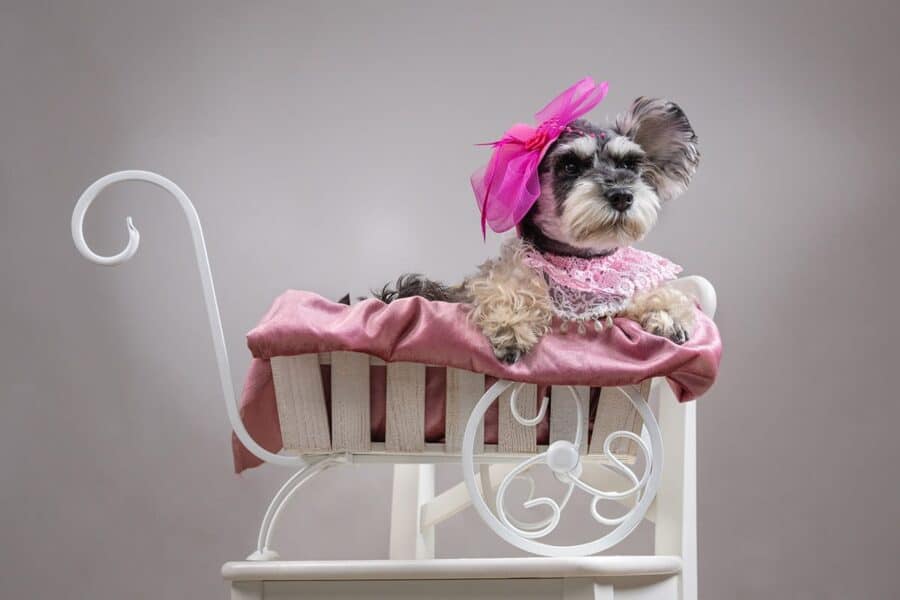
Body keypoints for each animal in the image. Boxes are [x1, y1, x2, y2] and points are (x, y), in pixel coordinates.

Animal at [376, 85, 700, 366]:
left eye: (629, 165)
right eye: (570, 166)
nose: (622, 195)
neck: (580, 260)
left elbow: (650, 294)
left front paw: (667, 313)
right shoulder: (494, 279)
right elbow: (503, 288)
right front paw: (510, 325)